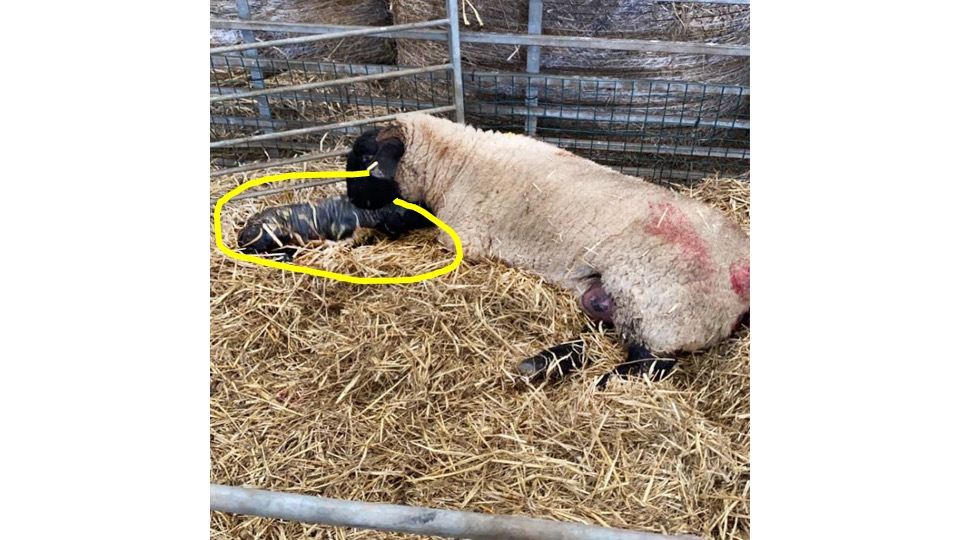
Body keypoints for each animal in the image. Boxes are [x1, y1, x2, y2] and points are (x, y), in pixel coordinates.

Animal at [344, 113, 750, 384]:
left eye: (365, 160)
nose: (351, 199)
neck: (456, 164)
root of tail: (741, 276)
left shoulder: (463, 236)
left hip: (661, 308)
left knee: (650, 364)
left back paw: (602, 381)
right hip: (611, 299)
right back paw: (540, 365)